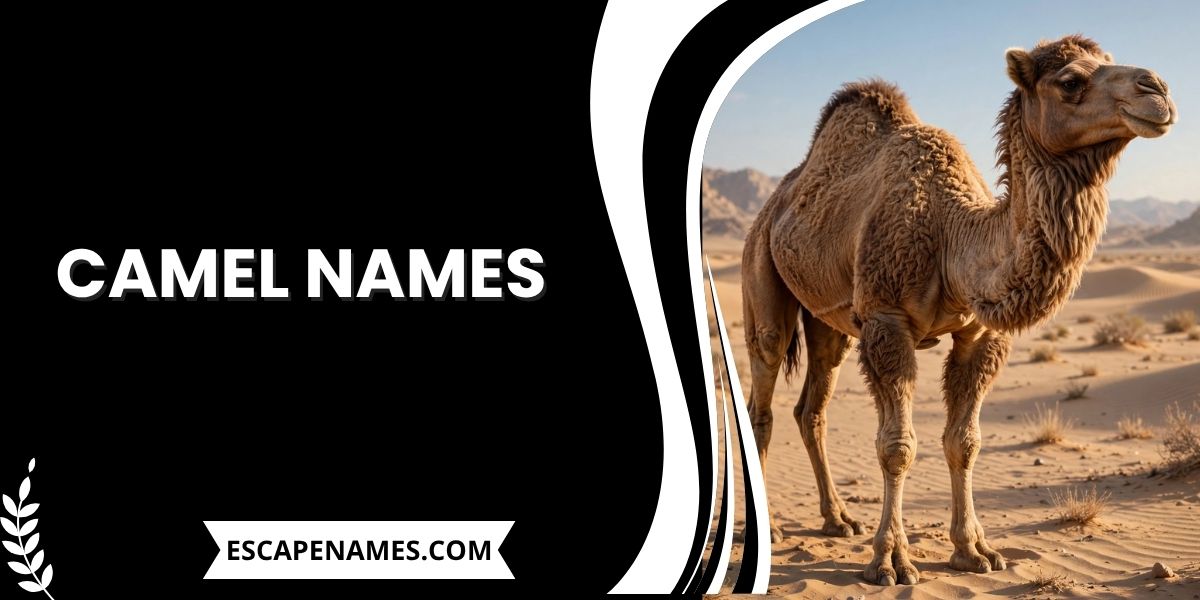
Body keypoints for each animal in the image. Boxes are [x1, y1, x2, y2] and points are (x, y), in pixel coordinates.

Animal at [741, 35, 1176, 586]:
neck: (952, 234)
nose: (1157, 89)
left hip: (827, 321)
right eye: (1070, 81)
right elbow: (897, 446)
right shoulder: (886, 321)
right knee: (764, 394)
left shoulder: (979, 335)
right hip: (761, 273)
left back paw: (839, 519)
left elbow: (964, 441)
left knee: (811, 409)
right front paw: (891, 561)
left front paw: (975, 551)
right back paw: (770, 530)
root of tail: (776, 202)